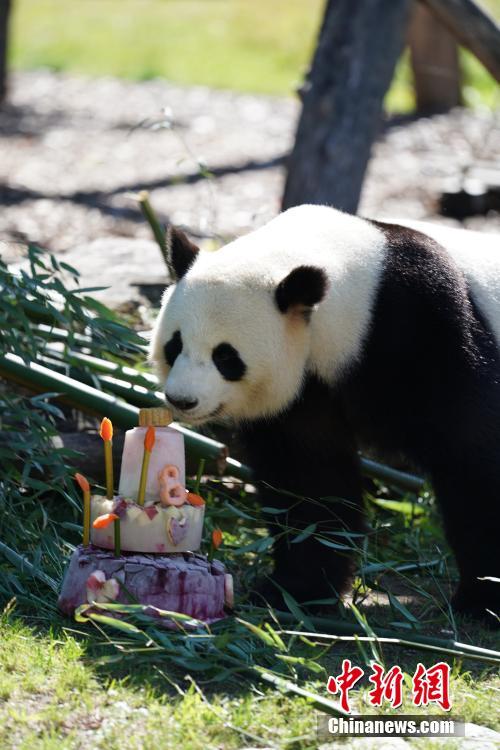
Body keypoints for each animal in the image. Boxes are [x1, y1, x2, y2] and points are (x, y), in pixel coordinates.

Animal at [150, 206, 500, 624]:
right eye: (175, 345)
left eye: (226, 357)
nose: (182, 400)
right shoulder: (301, 390)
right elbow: (310, 482)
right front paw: (294, 591)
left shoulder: (428, 326)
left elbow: (471, 453)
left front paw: (482, 600)